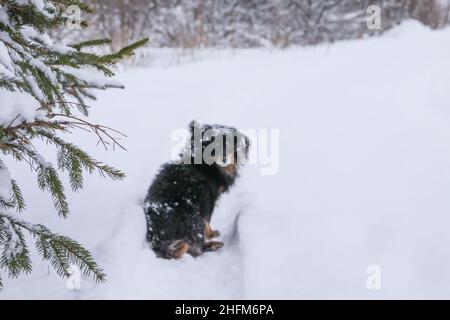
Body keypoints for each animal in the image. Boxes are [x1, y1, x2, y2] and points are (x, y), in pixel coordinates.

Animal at [144, 121, 250, 258]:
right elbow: (207, 221)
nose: (224, 158)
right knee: (197, 248)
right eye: (213, 145)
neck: (208, 165)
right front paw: (210, 233)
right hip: (193, 217)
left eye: (230, 144)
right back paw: (214, 245)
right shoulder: (208, 199)